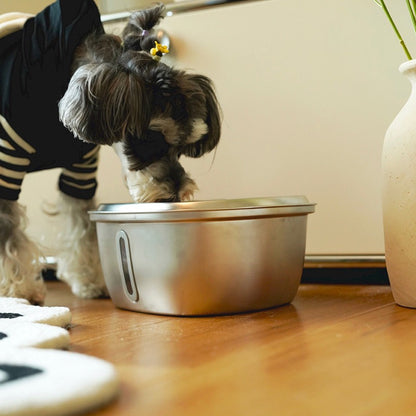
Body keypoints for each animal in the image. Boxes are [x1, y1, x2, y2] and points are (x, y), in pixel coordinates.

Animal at [0, 1, 221, 304]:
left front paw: (89, 281)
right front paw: (19, 290)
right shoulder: (5, 160)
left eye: (182, 149)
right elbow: (9, 236)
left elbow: (82, 230)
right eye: (150, 140)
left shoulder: (80, 173)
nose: (175, 195)